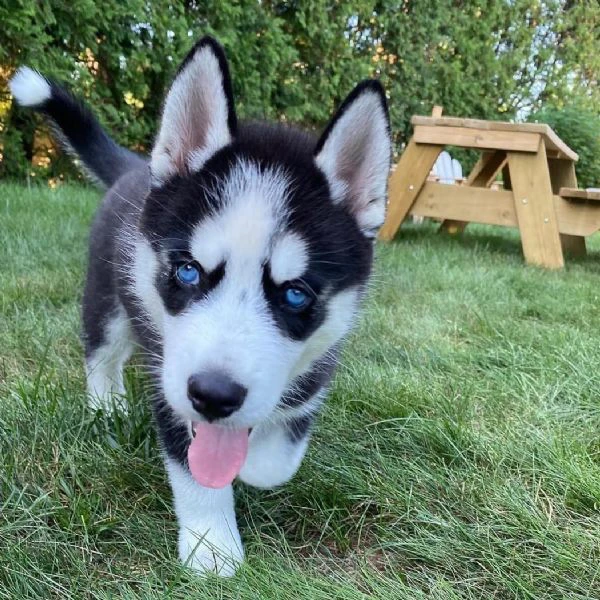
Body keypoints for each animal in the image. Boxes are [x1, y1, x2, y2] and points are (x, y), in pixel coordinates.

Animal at [10, 37, 394, 576]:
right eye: (189, 271)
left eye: (296, 293)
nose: (213, 396)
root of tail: (138, 169)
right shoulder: (168, 380)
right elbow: (193, 469)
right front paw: (211, 545)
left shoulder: (317, 367)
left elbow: (279, 455)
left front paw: (253, 465)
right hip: (106, 299)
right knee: (101, 352)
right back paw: (106, 404)